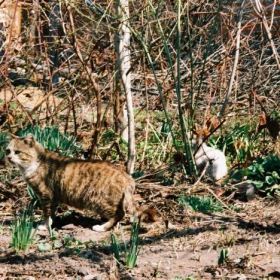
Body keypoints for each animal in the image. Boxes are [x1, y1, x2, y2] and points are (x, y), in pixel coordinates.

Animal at [6, 133, 141, 232]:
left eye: (17, 152)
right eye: (8, 151)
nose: (8, 158)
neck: (34, 163)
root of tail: (127, 176)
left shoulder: (46, 195)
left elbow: (46, 213)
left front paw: (45, 226)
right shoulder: (53, 197)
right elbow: (51, 213)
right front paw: (50, 224)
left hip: (101, 200)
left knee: (119, 214)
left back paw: (101, 227)